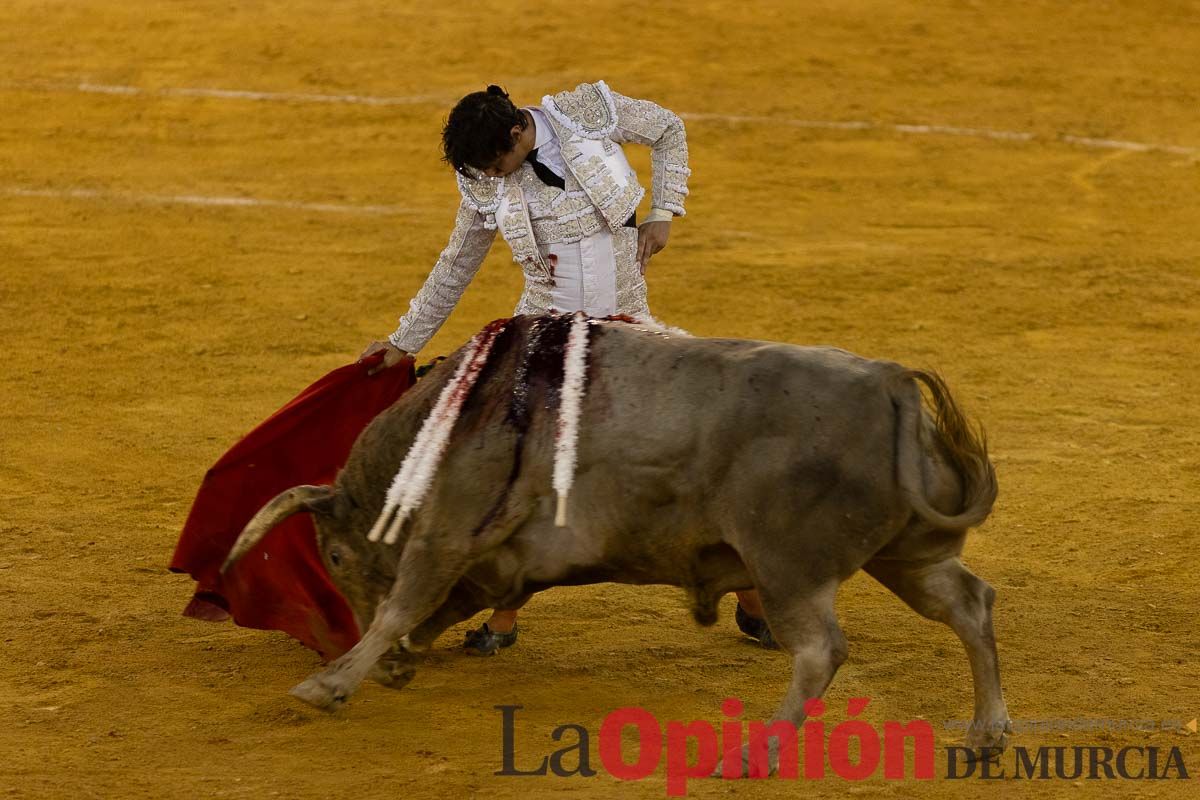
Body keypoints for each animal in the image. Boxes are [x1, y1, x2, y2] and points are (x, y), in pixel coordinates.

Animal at [220, 314, 1008, 762]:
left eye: (335, 556)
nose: (380, 671)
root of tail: (889, 384)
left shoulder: (444, 536)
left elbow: (402, 606)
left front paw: (332, 681)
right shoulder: (494, 560)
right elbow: (436, 610)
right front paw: (394, 663)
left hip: (788, 565)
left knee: (820, 651)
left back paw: (753, 756)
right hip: (908, 552)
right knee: (968, 604)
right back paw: (985, 734)